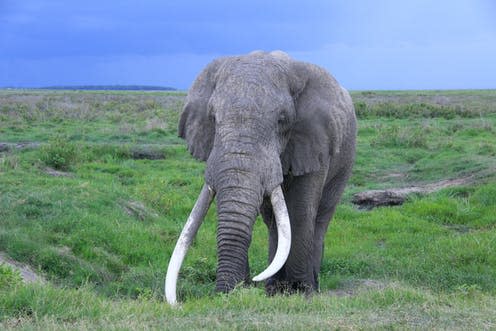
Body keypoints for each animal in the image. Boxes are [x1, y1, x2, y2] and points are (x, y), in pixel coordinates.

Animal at [167, 50, 356, 306]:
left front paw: (301, 293)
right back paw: (274, 289)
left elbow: (300, 211)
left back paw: (309, 287)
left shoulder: (315, 139)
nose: (226, 294)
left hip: (344, 160)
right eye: (213, 118)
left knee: (320, 217)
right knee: (273, 221)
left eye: (282, 120)